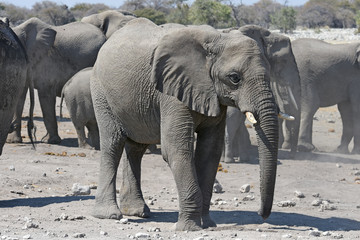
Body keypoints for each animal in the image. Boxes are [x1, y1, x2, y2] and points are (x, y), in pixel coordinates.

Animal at [90, 17, 282, 232]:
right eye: (234, 78)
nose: (261, 215)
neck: (217, 38)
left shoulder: (212, 95)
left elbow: (210, 151)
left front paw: (208, 224)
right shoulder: (171, 90)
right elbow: (177, 149)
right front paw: (190, 228)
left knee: (136, 148)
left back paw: (137, 211)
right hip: (101, 91)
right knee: (113, 143)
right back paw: (109, 214)